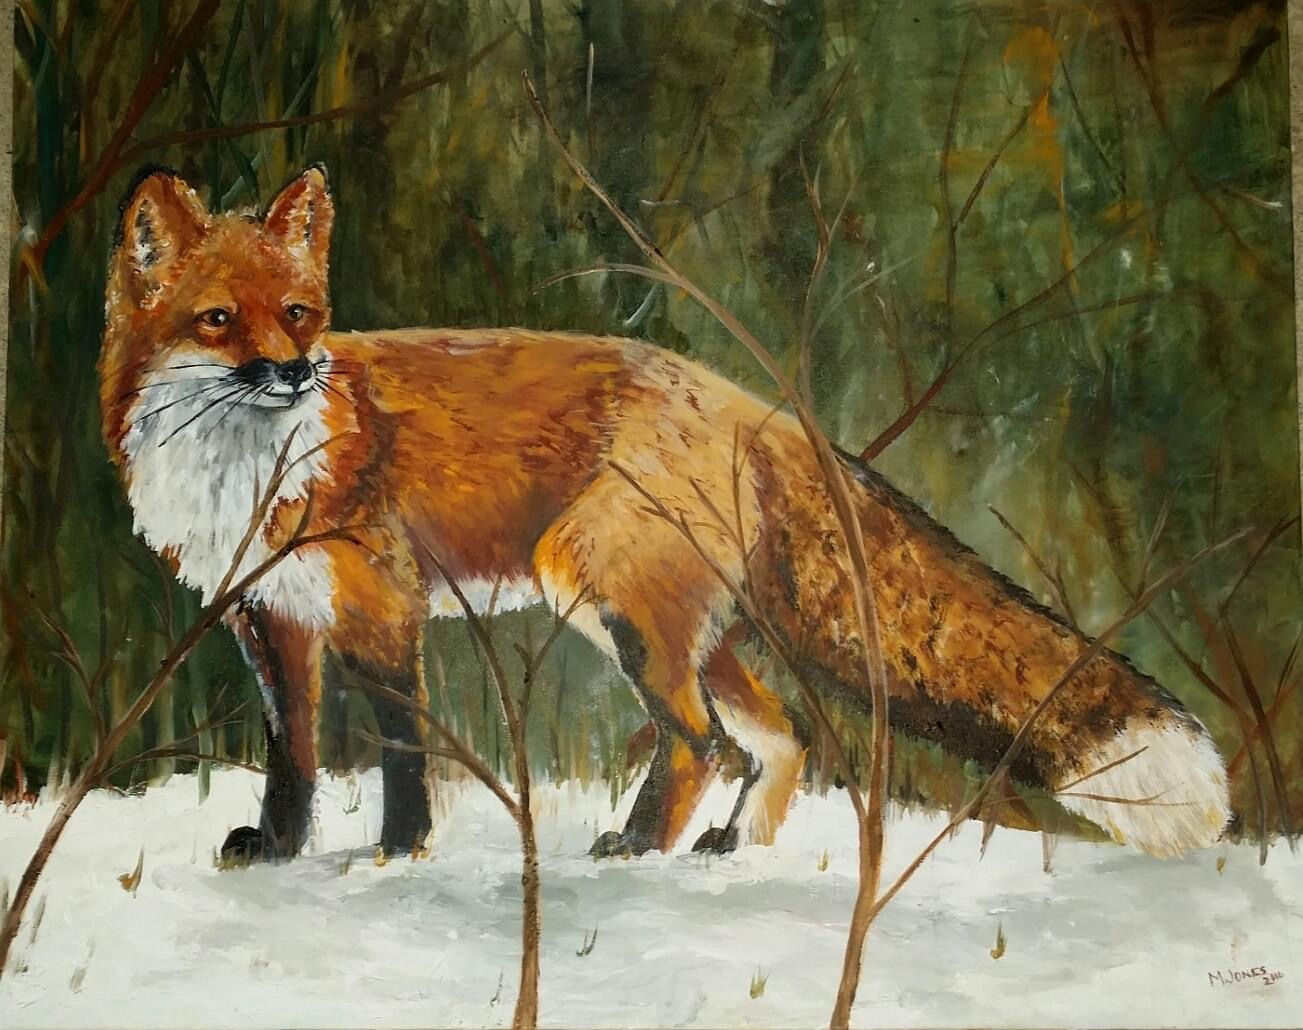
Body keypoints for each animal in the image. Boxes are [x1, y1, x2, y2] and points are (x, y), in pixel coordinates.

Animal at [98, 165, 1231, 864]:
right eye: (218, 319)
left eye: (298, 314)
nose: (294, 372)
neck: (246, 474)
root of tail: (741, 395)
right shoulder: (269, 616)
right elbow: (290, 756)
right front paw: (279, 851)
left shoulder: (379, 604)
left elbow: (403, 749)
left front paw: (395, 852)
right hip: (681, 627)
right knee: (777, 734)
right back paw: (729, 850)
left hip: (612, 600)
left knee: (698, 741)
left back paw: (639, 848)